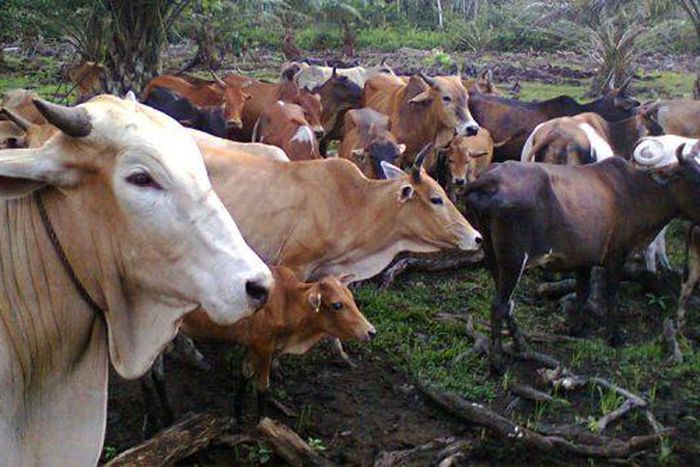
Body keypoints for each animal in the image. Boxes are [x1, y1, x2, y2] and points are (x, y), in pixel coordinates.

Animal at [181, 266, 375, 419]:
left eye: (351, 298)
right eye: (337, 305)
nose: (371, 331)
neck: (287, 301)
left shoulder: (253, 346)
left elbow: (245, 374)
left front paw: (238, 416)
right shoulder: (265, 346)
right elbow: (263, 386)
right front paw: (261, 423)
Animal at [463, 149, 700, 371]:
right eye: (694, 180)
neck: (636, 190)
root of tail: (490, 178)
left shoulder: (583, 258)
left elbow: (583, 293)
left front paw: (575, 328)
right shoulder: (616, 254)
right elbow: (612, 297)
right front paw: (615, 337)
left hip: (492, 254)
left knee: (505, 302)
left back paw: (520, 343)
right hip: (513, 259)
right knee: (499, 304)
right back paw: (497, 361)